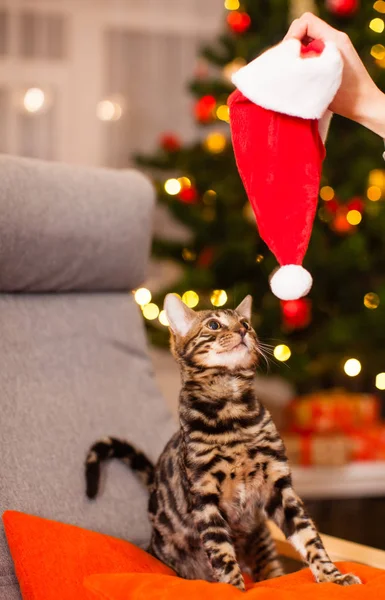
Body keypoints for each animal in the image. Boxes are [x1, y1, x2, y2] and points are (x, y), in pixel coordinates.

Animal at [85, 296, 360, 592]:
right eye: (214, 325)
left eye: (246, 323)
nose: (242, 330)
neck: (232, 412)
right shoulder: (204, 497)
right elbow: (221, 553)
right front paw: (234, 589)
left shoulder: (280, 487)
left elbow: (309, 537)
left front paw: (333, 576)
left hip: (261, 539)